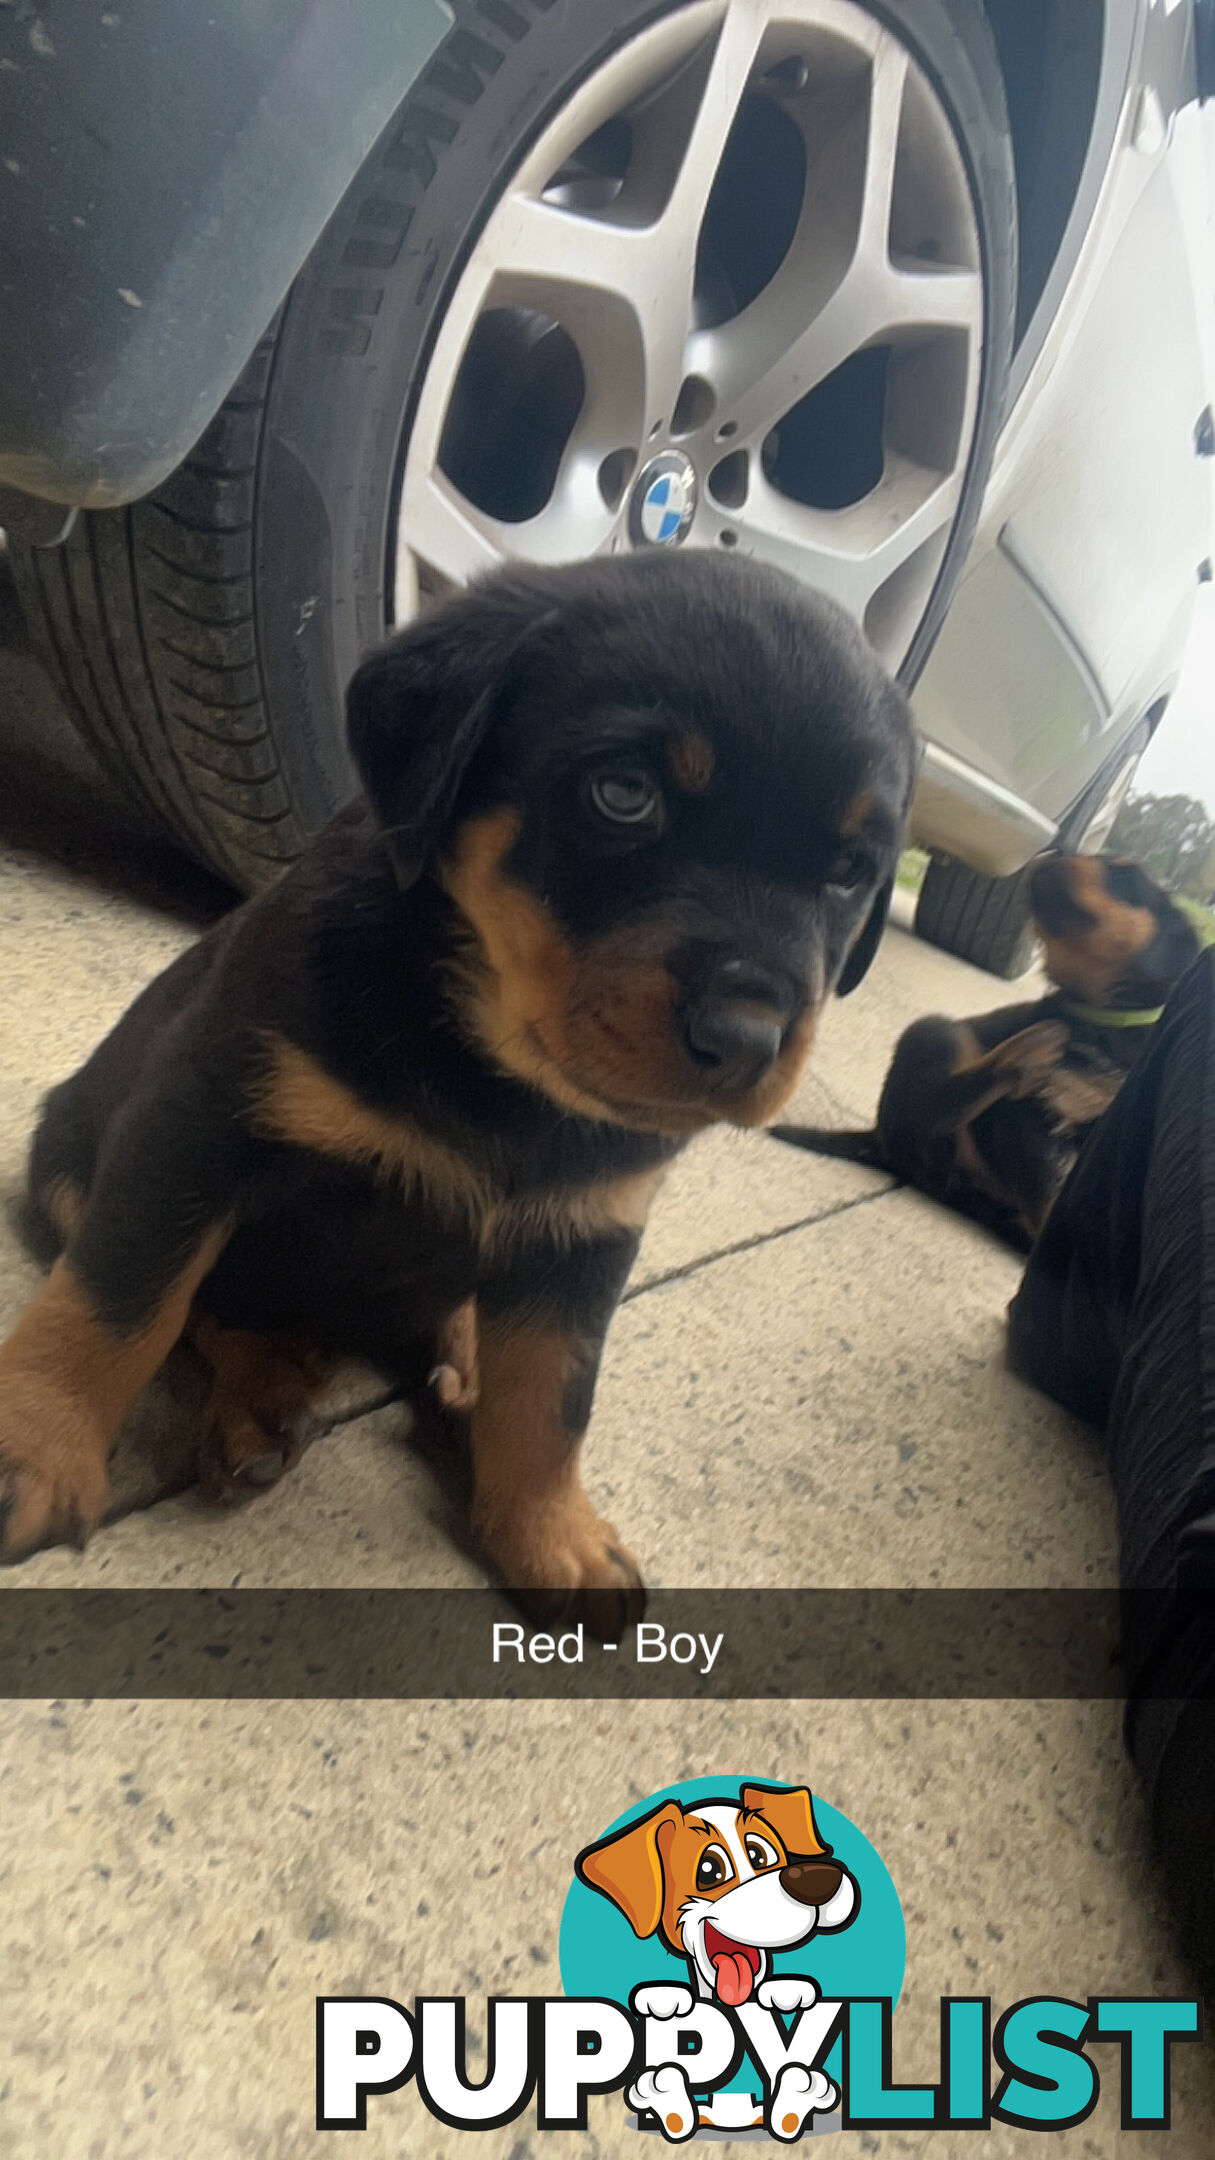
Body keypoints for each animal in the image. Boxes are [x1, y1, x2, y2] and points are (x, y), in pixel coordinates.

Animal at [0, 557, 908, 1624]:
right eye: (623, 793)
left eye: (849, 872)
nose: (746, 1039)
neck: (499, 1066)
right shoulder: (196, 1122)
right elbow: (120, 1300)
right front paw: (33, 1454)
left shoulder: (589, 1231)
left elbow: (555, 1399)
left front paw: (553, 1538)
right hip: (69, 1158)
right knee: (198, 1304)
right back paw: (267, 1385)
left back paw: (459, 1355)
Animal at [769, 846, 1193, 1252]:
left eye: (1123, 877)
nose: (1061, 848)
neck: (1106, 1023)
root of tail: (878, 1138)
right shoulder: (1030, 1117)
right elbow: (1048, 1188)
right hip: (938, 1032)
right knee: (941, 1105)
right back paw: (1028, 1053)